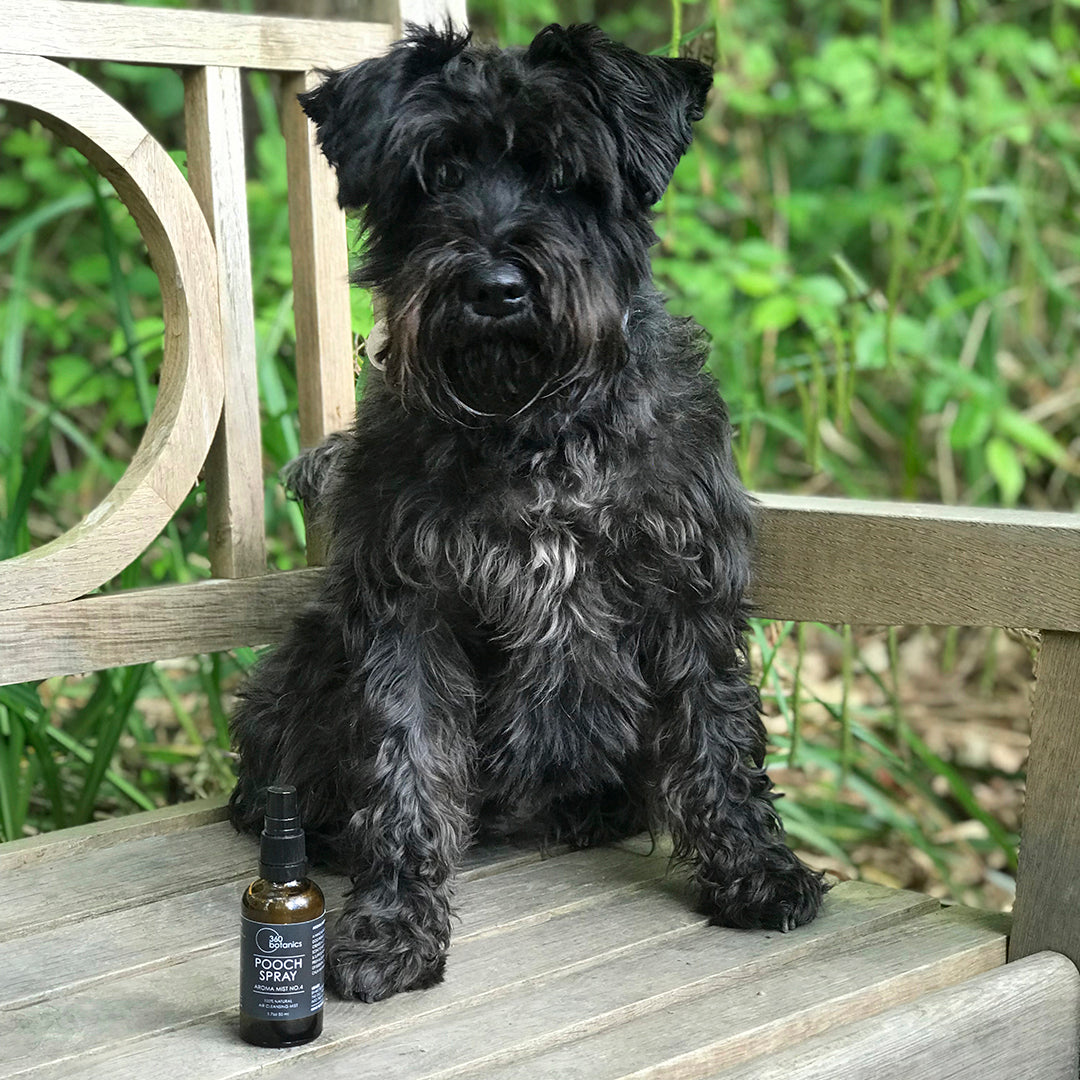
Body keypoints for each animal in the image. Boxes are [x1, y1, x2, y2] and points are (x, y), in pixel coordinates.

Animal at [230, 23, 825, 1002]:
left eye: (564, 175)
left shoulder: (688, 591)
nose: (496, 286)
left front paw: (755, 871)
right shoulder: (408, 610)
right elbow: (404, 767)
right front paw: (392, 924)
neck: (535, 426)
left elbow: (717, 737)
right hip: (315, 653)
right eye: (436, 175)